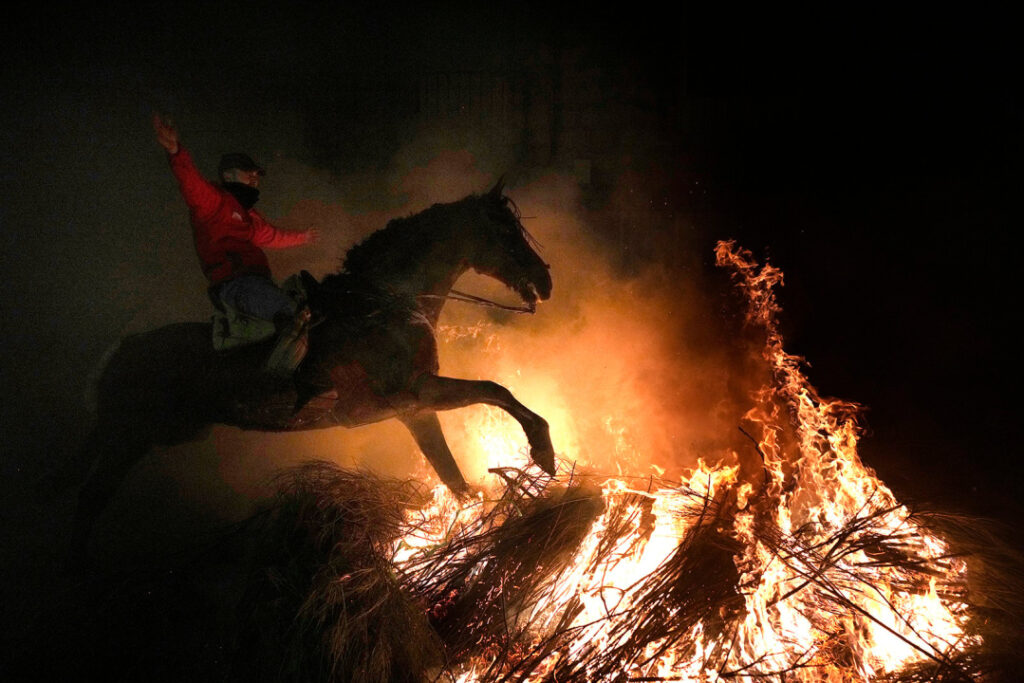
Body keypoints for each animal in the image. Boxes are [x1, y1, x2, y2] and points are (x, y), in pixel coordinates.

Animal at [59, 179, 557, 565]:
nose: (546, 281)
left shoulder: (416, 412)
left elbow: (453, 476)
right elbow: (495, 390)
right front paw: (543, 451)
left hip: (128, 437)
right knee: (89, 499)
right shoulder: (418, 393)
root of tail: (119, 352)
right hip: (129, 440)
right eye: (504, 231)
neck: (383, 302)